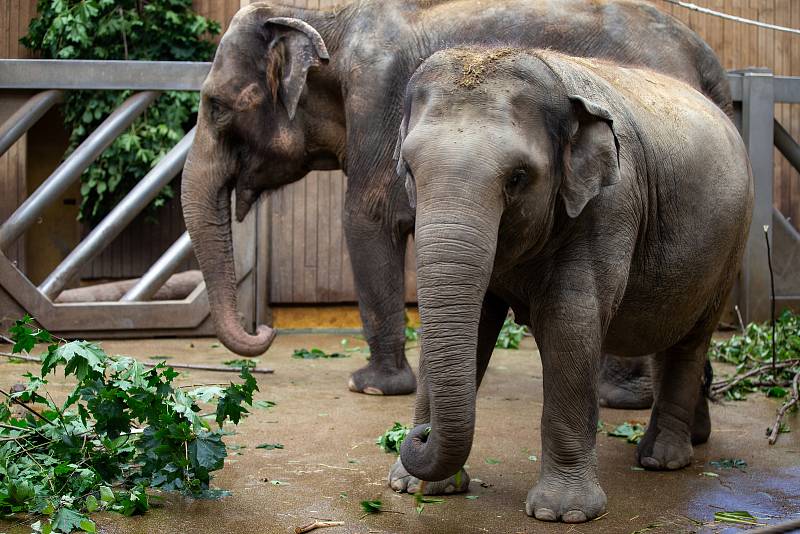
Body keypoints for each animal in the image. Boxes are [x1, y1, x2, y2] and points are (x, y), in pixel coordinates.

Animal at [181, 0, 732, 398]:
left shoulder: (377, 100)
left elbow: (364, 219)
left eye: (216, 106)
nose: (265, 333)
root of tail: (706, 57)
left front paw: (372, 388)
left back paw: (621, 397)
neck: (324, 16)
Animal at [396, 48, 752, 524]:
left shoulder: (610, 203)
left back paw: (662, 459)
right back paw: (694, 437)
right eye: (409, 170)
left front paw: (562, 513)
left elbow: (571, 321)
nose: (417, 433)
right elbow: (477, 323)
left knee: (690, 340)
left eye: (517, 177)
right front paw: (413, 487)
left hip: (731, 245)